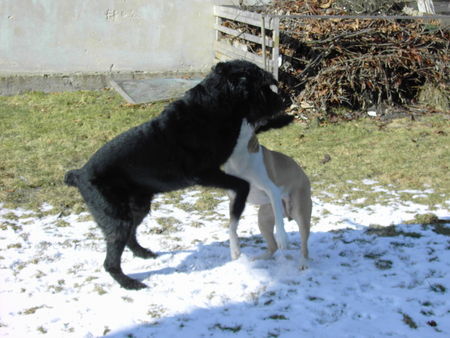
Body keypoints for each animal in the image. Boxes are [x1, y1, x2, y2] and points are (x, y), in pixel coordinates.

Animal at [65, 59, 286, 290]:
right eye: (262, 87)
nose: (283, 101)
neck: (216, 106)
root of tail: (79, 175)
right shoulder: (204, 173)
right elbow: (242, 186)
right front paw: (237, 212)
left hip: (138, 207)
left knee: (130, 236)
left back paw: (143, 253)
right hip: (117, 218)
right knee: (111, 261)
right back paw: (130, 283)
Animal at [223, 121, 312, 270]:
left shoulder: (272, 190)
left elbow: (279, 221)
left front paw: (283, 238)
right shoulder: (234, 199)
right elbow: (232, 226)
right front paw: (234, 250)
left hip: (300, 211)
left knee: (304, 244)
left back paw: (303, 262)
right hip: (263, 218)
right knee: (273, 247)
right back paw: (258, 258)